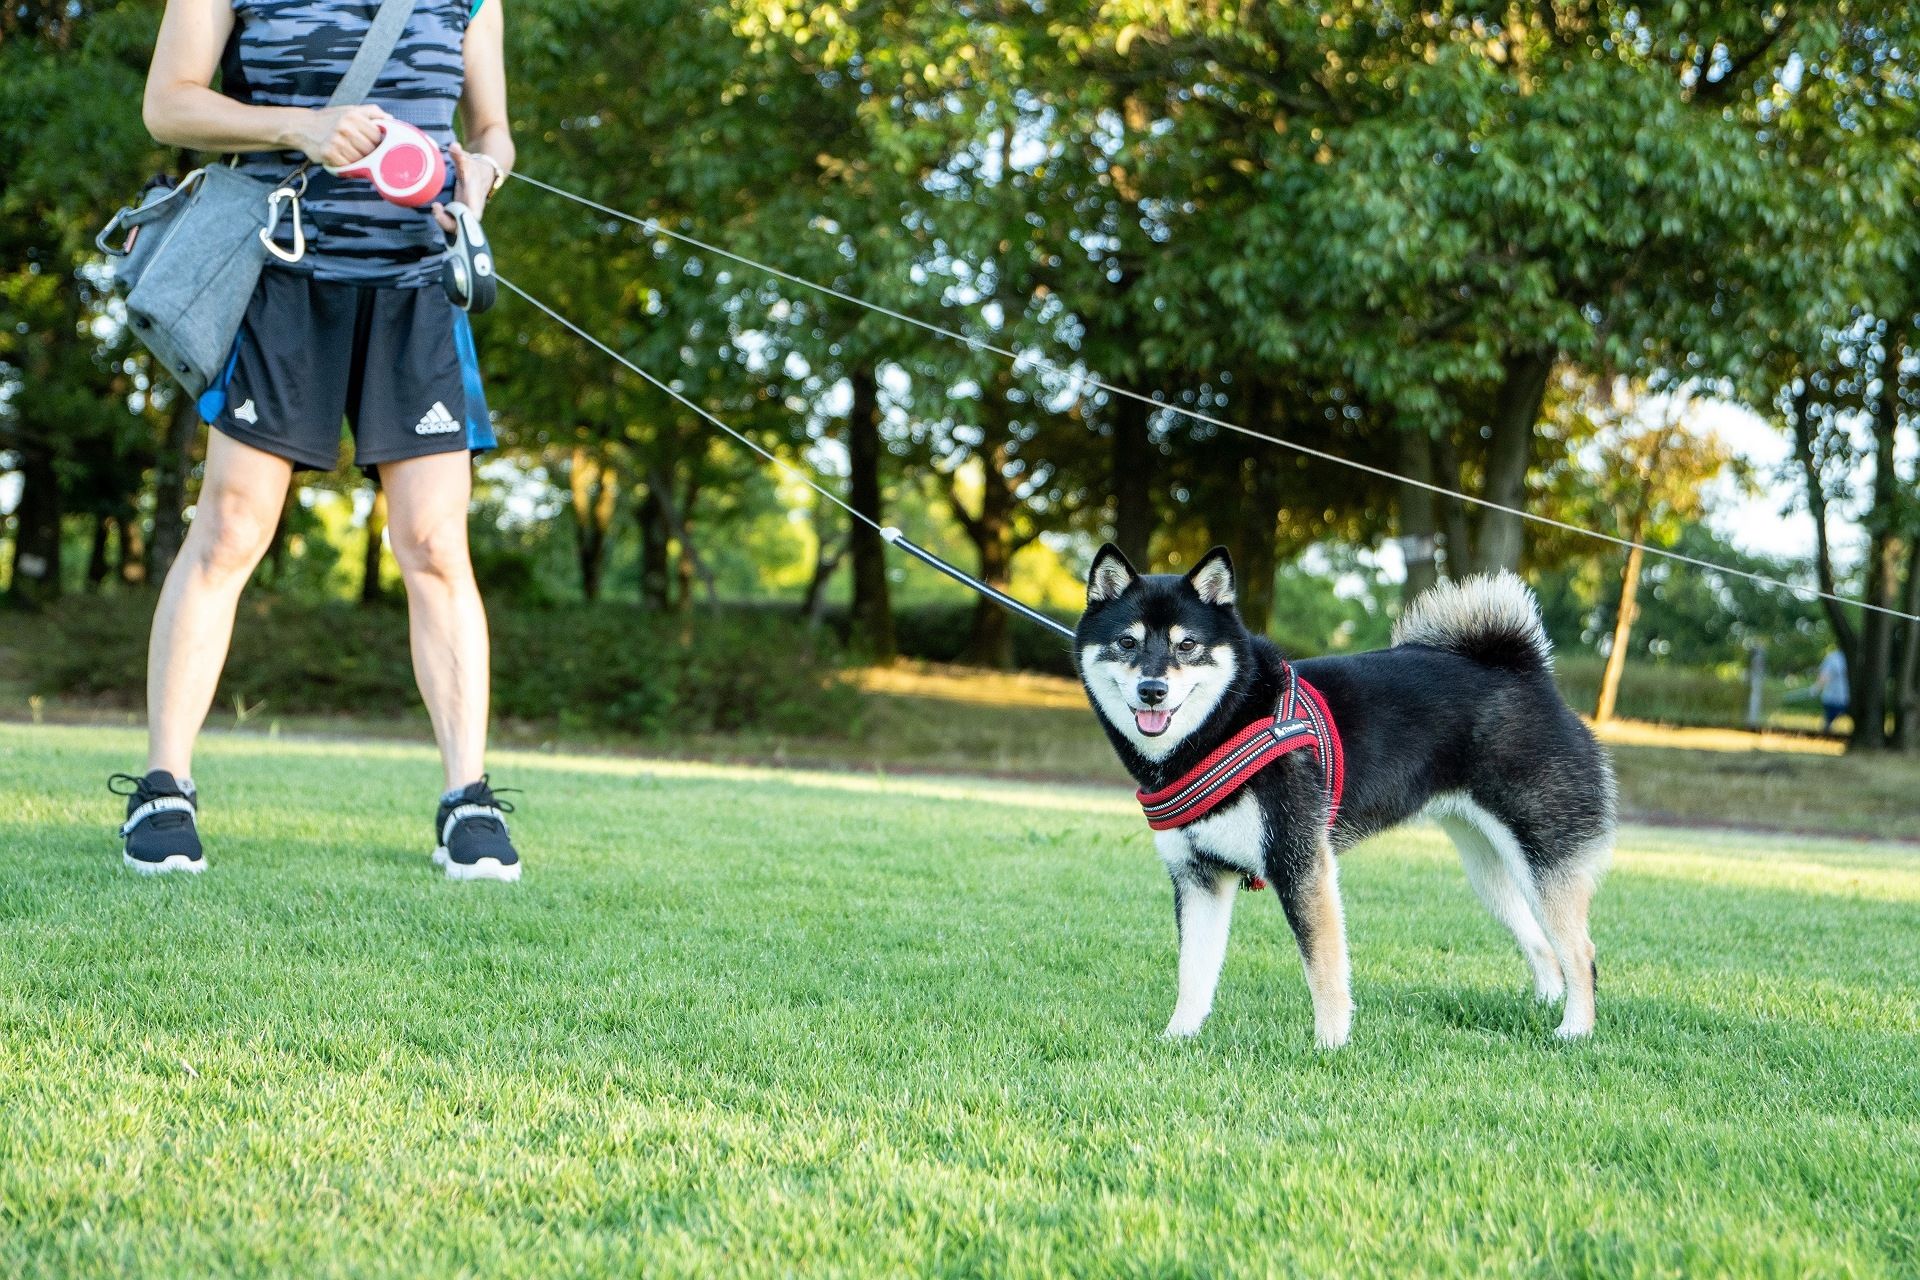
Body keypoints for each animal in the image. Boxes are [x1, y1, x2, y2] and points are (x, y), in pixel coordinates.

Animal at [1075, 545, 1612, 1043]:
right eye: (1127, 642)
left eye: (1187, 644)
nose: (1152, 690)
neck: (1228, 721)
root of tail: (1528, 675)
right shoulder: (1197, 875)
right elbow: (1193, 973)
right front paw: (1178, 1038)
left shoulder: (1301, 862)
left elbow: (1323, 969)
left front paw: (1330, 1044)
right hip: (1491, 871)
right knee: (1543, 946)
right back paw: (1547, 1006)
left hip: (1543, 857)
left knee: (1581, 951)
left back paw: (1575, 1030)